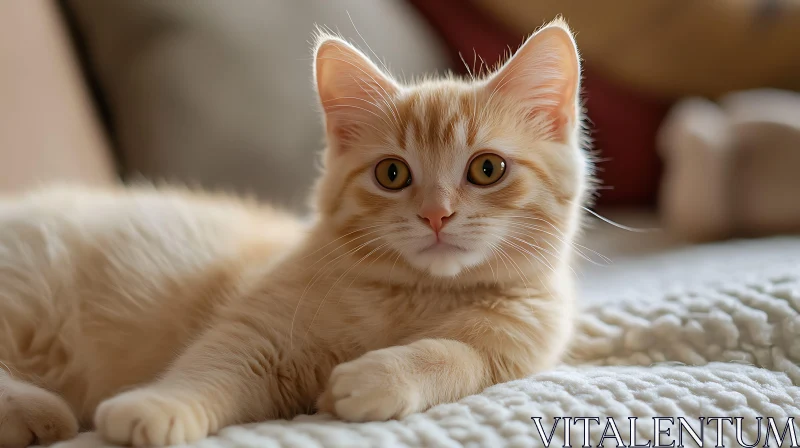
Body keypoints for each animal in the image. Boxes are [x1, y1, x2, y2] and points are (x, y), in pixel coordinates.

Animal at [0, 18, 588, 448]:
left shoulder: (516, 352)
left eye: (487, 169)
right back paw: (39, 412)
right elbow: (209, 367)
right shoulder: (257, 328)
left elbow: (458, 356)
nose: (436, 214)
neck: (418, 294)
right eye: (392, 174)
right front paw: (154, 406)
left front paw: (377, 378)